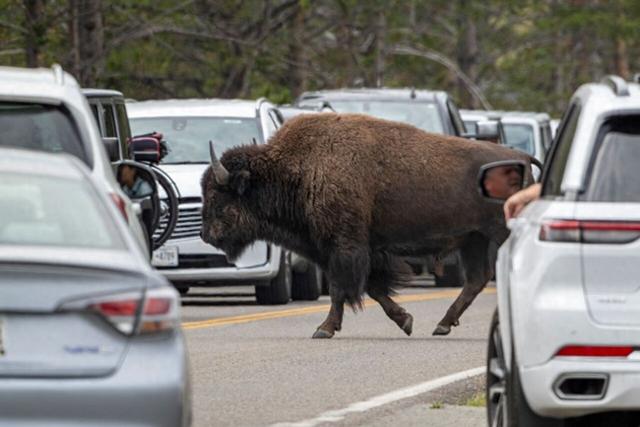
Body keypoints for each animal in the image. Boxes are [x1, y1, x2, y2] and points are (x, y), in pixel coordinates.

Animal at [202, 113, 532, 338]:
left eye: (217, 195)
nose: (206, 235)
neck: (302, 168)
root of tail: (523, 158)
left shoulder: (343, 247)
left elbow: (342, 289)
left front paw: (324, 329)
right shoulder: (355, 250)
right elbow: (373, 288)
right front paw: (406, 321)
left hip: (496, 233)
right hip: (474, 238)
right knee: (477, 279)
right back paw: (442, 325)